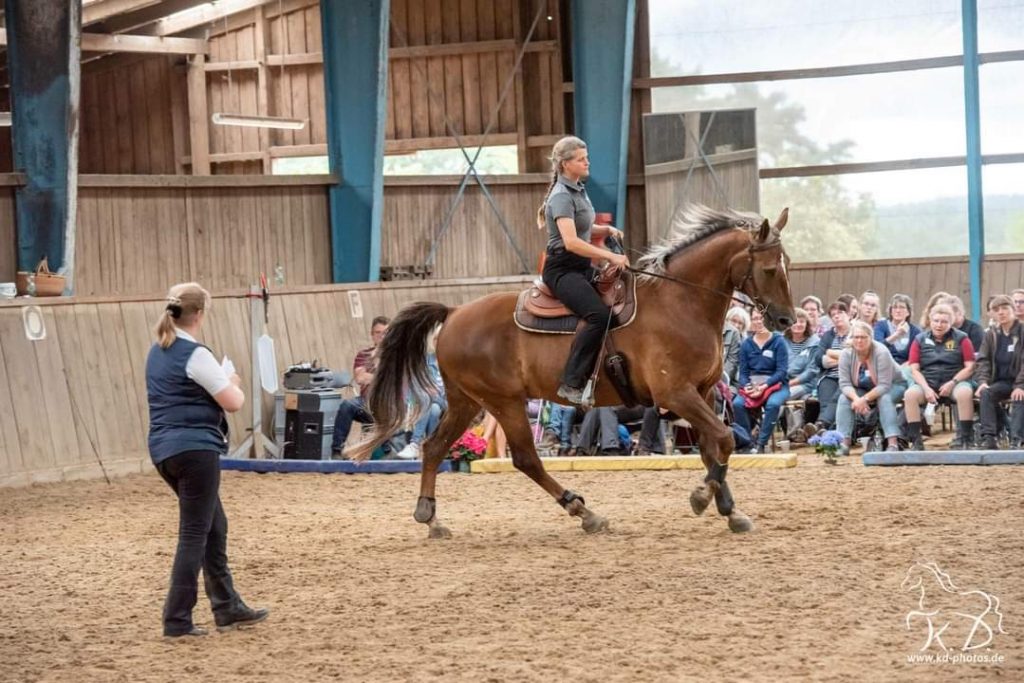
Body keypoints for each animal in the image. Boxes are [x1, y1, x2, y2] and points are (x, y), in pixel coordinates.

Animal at [356, 205, 794, 536]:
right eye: (771, 269)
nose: (787, 321)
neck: (681, 301)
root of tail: (454, 312)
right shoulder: (677, 395)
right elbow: (724, 439)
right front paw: (703, 498)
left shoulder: (701, 393)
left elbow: (711, 447)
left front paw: (730, 510)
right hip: (503, 401)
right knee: (526, 459)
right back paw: (584, 512)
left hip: (467, 401)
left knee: (434, 448)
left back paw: (430, 517)